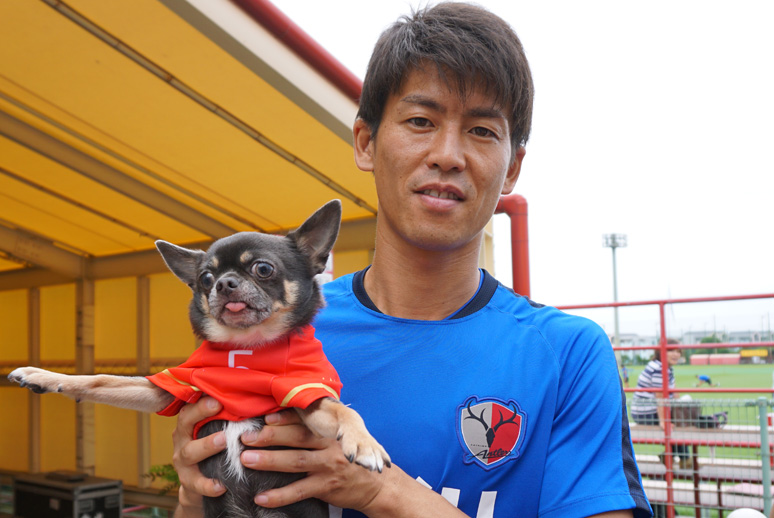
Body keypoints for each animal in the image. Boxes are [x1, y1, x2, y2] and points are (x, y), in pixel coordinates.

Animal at [9, 199, 390, 518]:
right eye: (205, 278)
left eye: (263, 269)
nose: (224, 283)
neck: (247, 348)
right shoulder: (169, 388)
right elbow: (100, 380)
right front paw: (43, 376)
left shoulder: (305, 395)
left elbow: (342, 410)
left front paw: (365, 442)